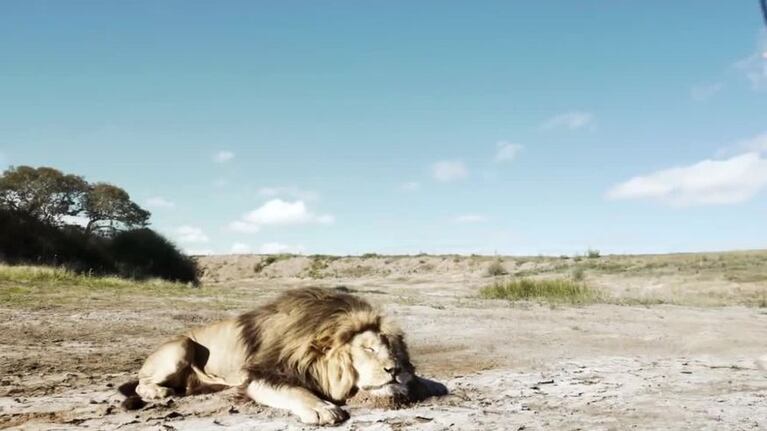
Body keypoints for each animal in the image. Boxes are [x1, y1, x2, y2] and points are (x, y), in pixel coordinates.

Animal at [118, 288, 432, 426]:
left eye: (392, 349)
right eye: (367, 349)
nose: (394, 370)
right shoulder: (261, 374)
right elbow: (295, 390)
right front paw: (323, 409)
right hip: (182, 346)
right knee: (140, 383)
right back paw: (158, 392)